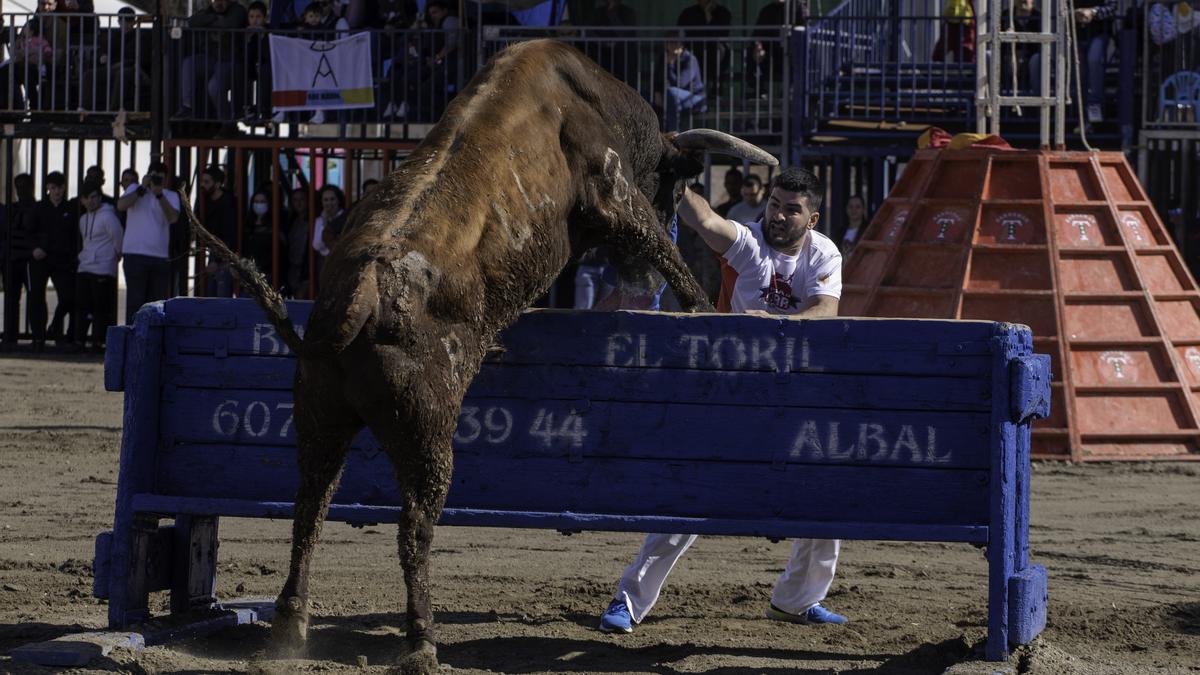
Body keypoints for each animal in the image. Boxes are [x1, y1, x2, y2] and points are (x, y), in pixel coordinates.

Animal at [183, 38, 772, 672]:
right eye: (674, 188)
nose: (638, 282)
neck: (589, 96)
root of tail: (363, 289)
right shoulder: (613, 193)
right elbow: (662, 247)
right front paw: (700, 307)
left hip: (319, 415)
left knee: (309, 507)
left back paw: (291, 627)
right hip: (428, 435)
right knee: (414, 528)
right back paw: (421, 639)